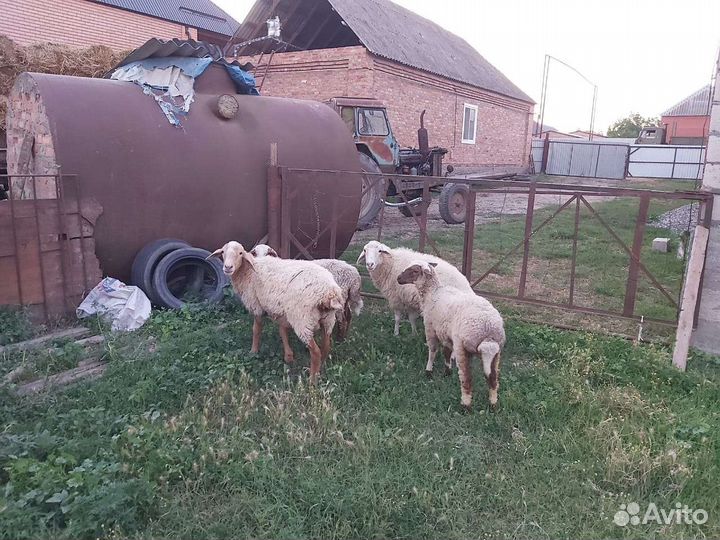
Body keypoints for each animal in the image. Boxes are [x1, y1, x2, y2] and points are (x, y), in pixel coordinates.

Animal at [208, 241, 344, 384]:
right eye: (223, 252)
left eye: (240, 253)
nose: (227, 267)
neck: (248, 270)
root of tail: (329, 293)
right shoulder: (280, 311)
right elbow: (282, 331)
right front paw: (288, 356)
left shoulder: (256, 305)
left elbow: (256, 329)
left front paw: (253, 351)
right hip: (328, 319)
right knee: (326, 346)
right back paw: (321, 368)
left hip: (302, 320)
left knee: (316, 352)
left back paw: (312, 380)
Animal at [397, 260, 505, 409]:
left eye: (414, 271)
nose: (398, 278)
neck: (433, 293)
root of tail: (488, 328)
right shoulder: (445, 333)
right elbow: (447, 352)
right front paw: (447, 371)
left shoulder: (430, 329)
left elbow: (433, 351)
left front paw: (428, 371)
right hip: (496, 352)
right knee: (493, 378)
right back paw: (493, 404)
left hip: (461, 347)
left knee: (466, 378)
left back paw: (465, 405)